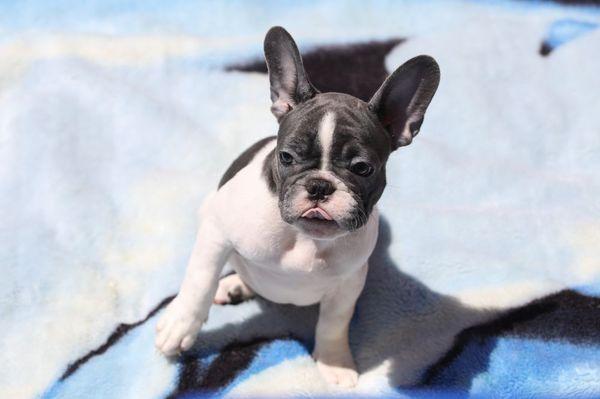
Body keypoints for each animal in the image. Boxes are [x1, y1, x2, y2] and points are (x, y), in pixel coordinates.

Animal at [155, 26, 438, 390]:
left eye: (363, 168)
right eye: (286, 157)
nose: (319, 185)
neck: (305, 239)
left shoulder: (349, 283)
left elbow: (334, 323)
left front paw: (334, 362)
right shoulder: (216, 230)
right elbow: (198, 280)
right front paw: (180, 325)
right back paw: (230, 286)